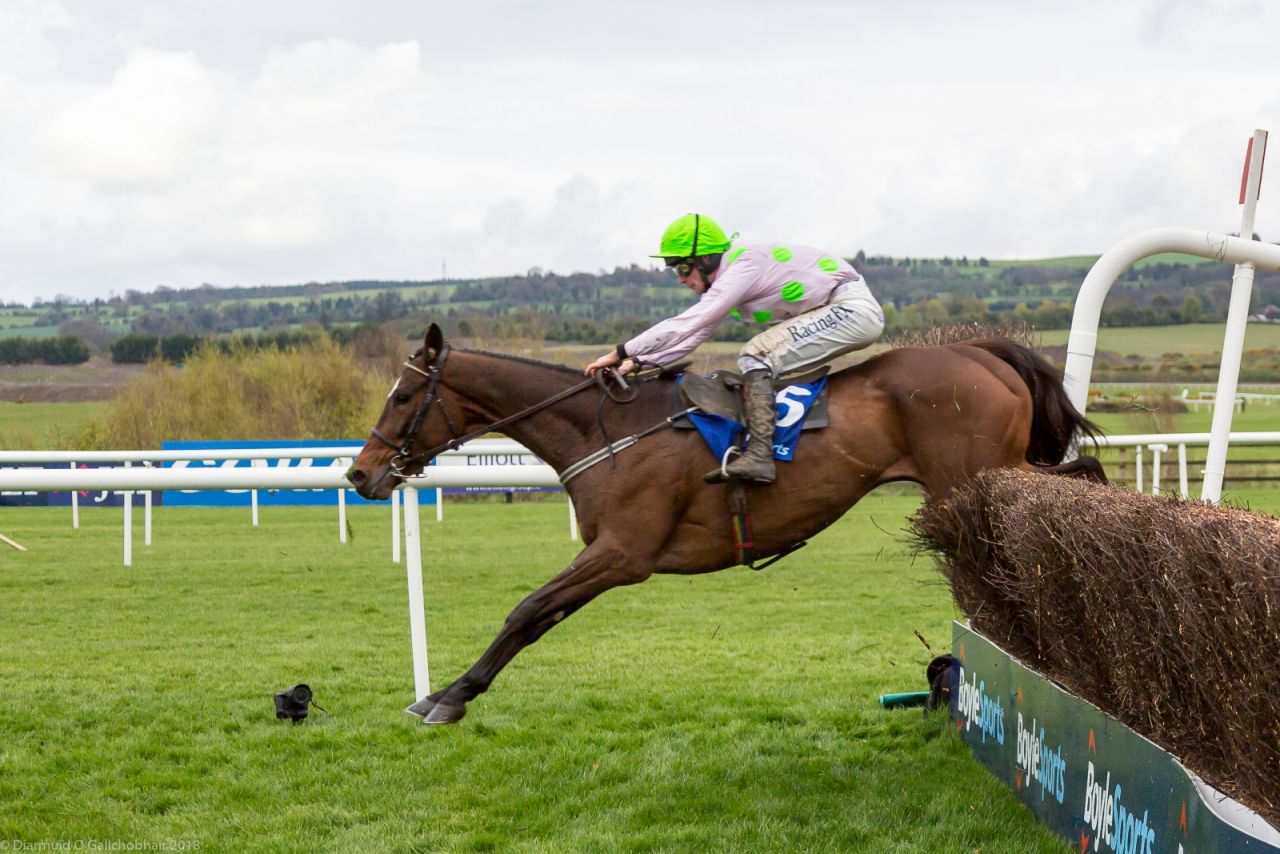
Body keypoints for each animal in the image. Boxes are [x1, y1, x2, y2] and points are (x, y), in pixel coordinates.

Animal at [345, 323, 1105, 727]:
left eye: (404, 396)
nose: (359, 473)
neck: (605, 430)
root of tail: (979, 351)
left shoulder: (623, 553)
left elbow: (525, 611)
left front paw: (447, 698)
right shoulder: (609, 555)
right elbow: (539, 617)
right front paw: (445, 693)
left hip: (976, 478)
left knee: (1077, 485)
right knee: (1081, 477)